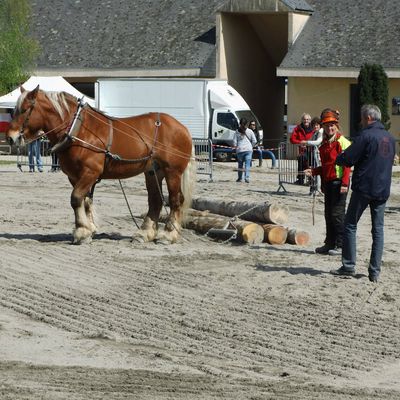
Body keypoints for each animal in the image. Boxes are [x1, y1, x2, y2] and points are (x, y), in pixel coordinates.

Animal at [5, 86, 195, 244]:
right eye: (13, 111)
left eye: (25, 110)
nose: (10, 138)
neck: (79, 130)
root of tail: (182, 128)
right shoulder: (75, 176)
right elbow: (84, 201)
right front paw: (88, 228)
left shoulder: (91, 172)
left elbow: (75, 198)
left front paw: (82, 232)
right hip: (153, 172)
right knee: (155, 200)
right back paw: (144, 233)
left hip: (172, 171)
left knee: (175, 200)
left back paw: (168, 234)